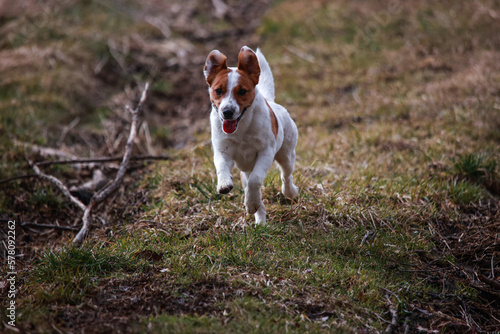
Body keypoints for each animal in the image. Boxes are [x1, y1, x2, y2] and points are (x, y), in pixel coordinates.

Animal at [202, 46, 296, 224]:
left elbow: (256, 179)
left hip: (286, 154)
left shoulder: (266, 152)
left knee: (286, 175)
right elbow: (222, 167)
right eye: (218, 91)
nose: (227, 112)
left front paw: (251, 203)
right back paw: (259, 218)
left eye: (242, 91)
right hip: (246, 168)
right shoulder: (222, 151)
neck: (241, 129)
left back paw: (290, 192)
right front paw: (224, 184)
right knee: (250, 185)